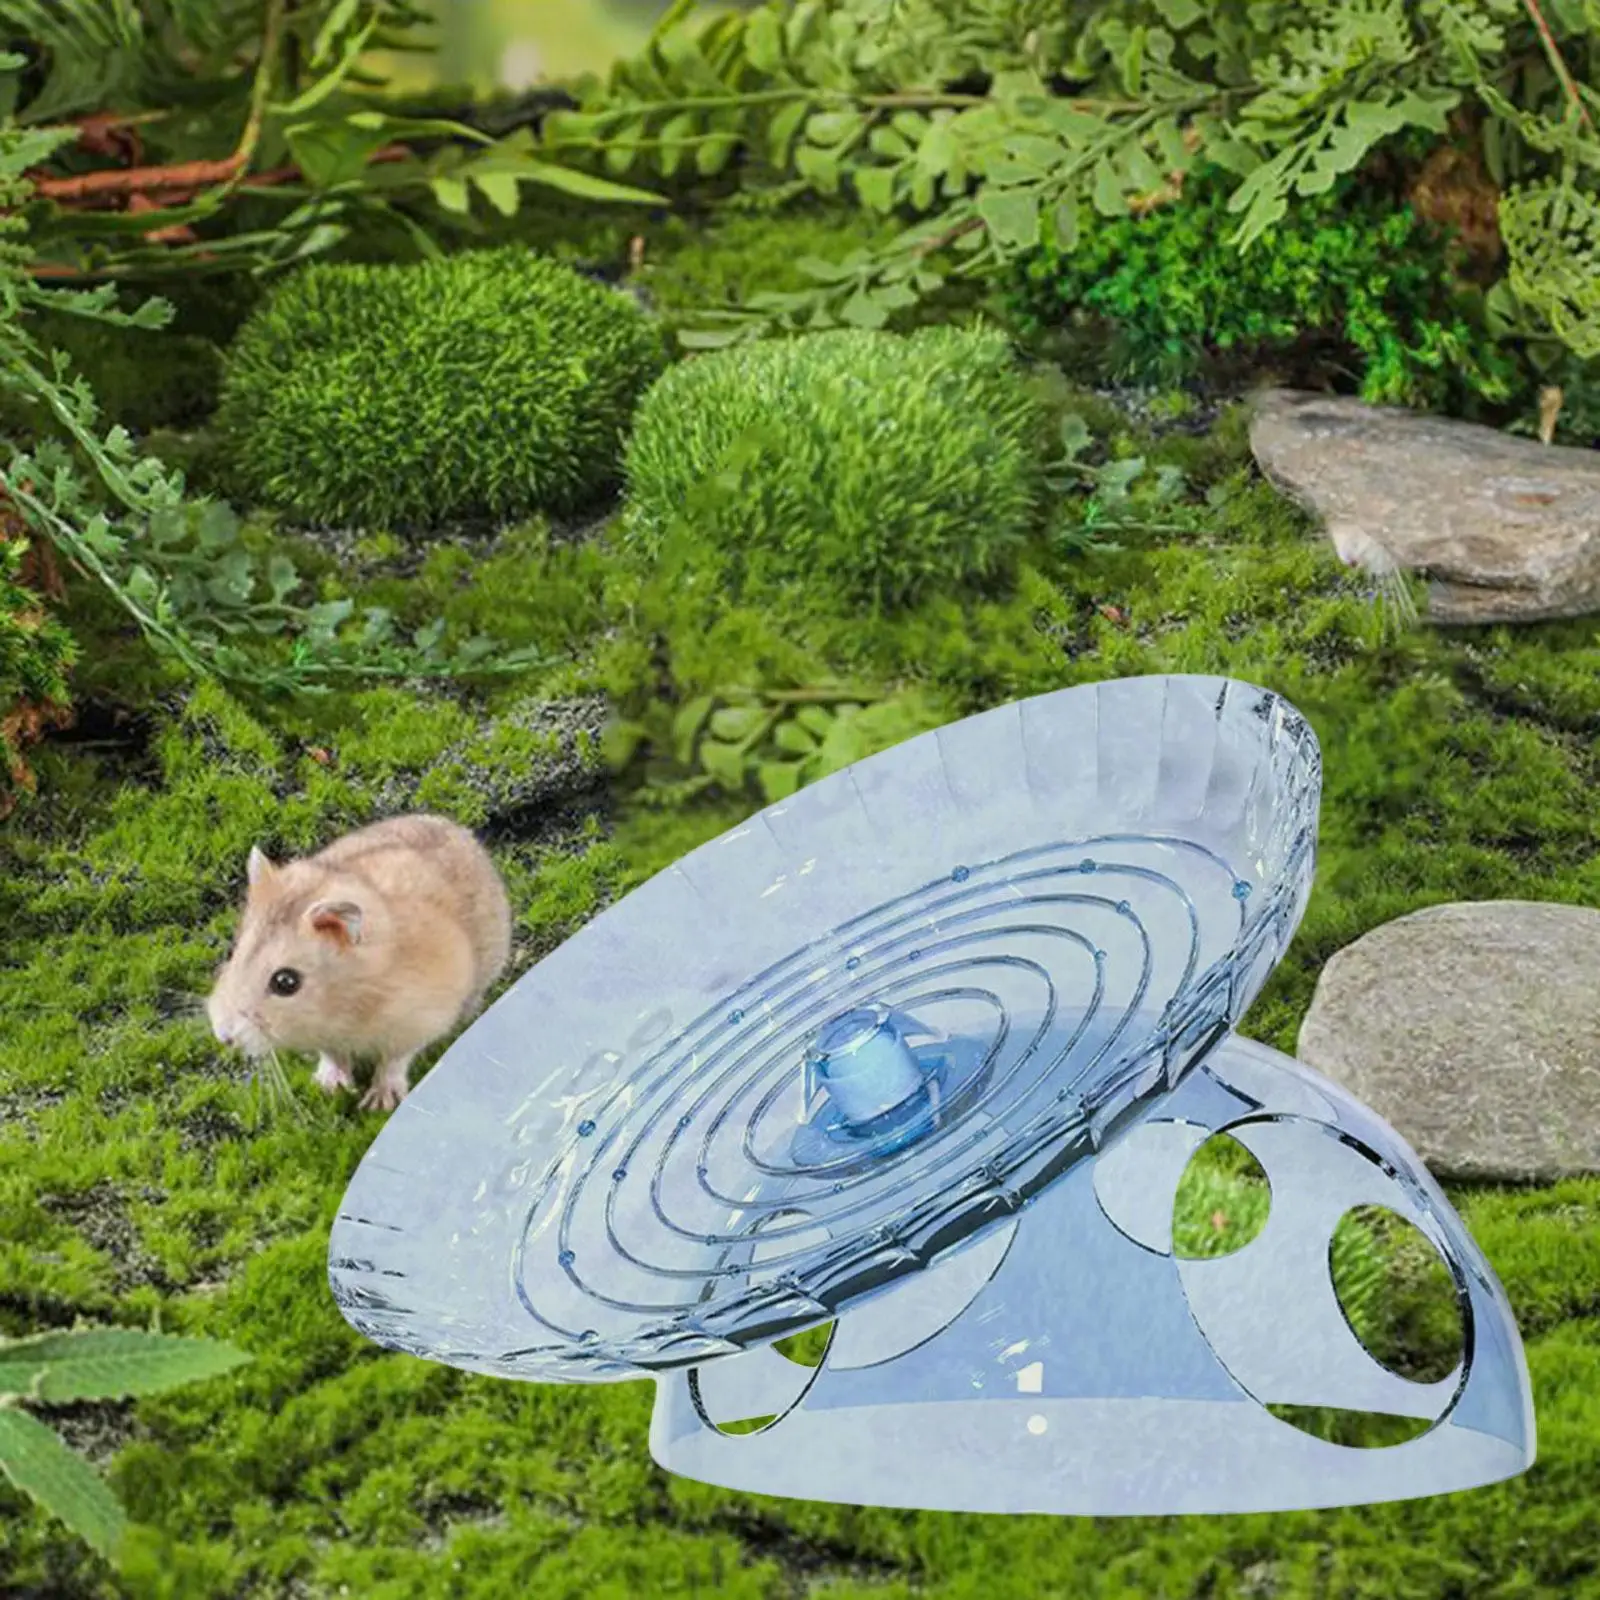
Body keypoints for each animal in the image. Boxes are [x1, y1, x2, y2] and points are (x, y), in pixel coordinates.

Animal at [207, 813, 513, 1111]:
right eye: (233, 952)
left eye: (286, 982)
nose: (223, 1036)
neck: (343, 1003)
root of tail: (460, 831)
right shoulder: (327, 1037)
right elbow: (333, 1055)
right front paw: (330, 1087)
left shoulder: (417, 1023)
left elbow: (394, 1060)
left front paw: (379, 1104)